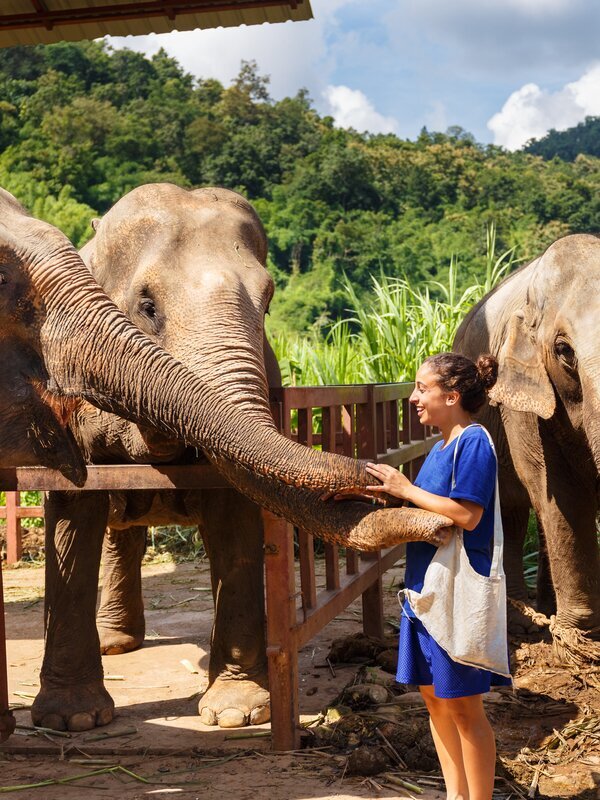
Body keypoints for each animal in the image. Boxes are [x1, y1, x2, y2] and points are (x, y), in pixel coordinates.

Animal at [0, 183, 453, 734]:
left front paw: (237, 714)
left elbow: (236, 516)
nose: (377, 476)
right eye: (147, 305)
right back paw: (115, 645)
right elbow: (73, 513)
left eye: (268, 301)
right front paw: (74, 720)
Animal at [454, 233, 600, 661]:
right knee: (512, 512)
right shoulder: (519, 402)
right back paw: (518, 622)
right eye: (564, 351)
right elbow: (562, 494)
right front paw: (582, 646)